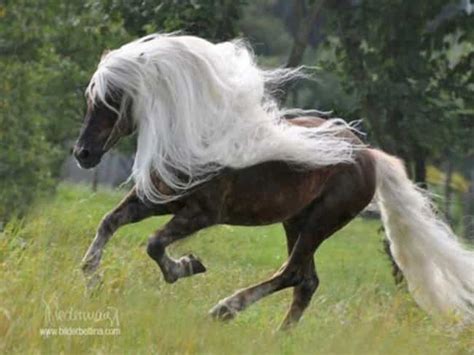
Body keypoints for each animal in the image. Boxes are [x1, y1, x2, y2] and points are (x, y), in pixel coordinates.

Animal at [73, 34, 474, 330]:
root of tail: (368, 155)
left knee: (293, 273)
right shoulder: (156, 201)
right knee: (306, 281)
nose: (83, 154)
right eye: (90, 97)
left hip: (320, 222)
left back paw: (224, 309)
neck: (194, 136)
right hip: (295, 221)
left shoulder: (201, 213)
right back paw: (278, 335)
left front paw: (186, 266)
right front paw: (91, 279)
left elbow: (154, 244)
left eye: (112, 98)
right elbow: (109, 222)